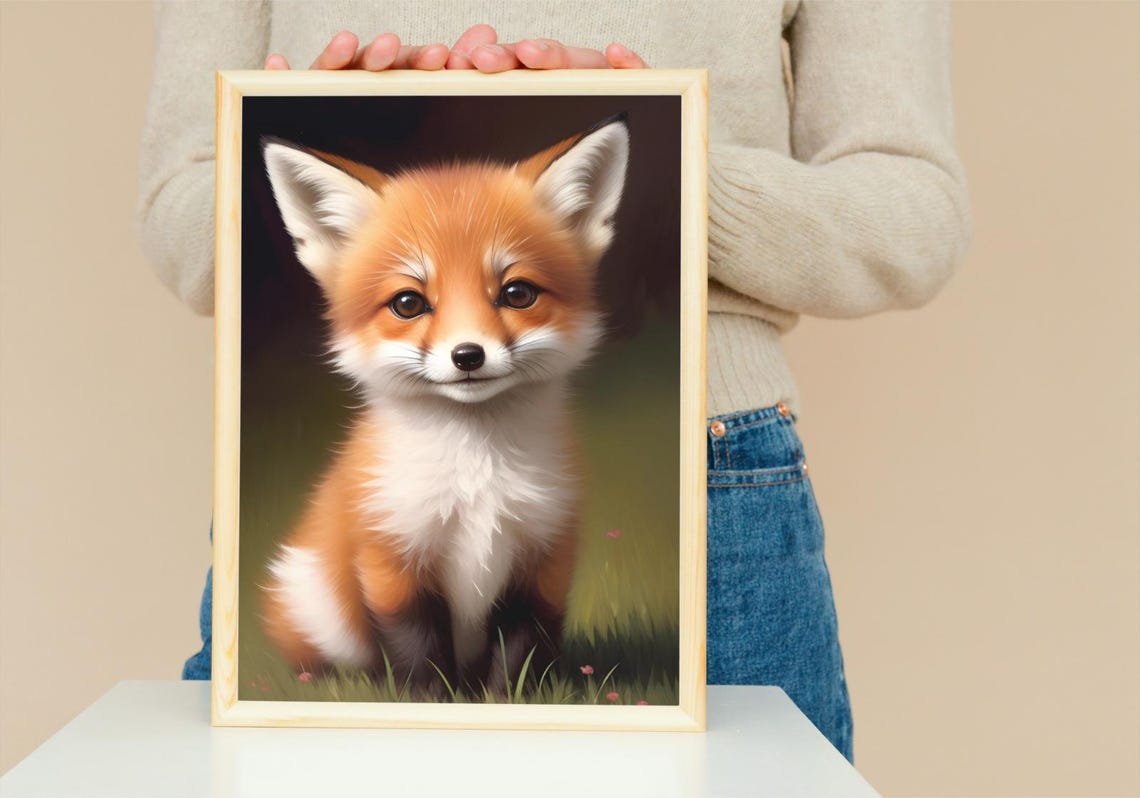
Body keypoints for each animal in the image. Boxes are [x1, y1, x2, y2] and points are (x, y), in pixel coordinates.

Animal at [258, 114, 630, 696]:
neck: (477, 482)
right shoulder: (392, 563)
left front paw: (507, 703)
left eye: (517, 293)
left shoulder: (543, 559)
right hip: (311, 600)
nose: (468, 355)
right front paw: (434, 703)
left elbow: (518, 662)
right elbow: (421, 661)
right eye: (409, 303)